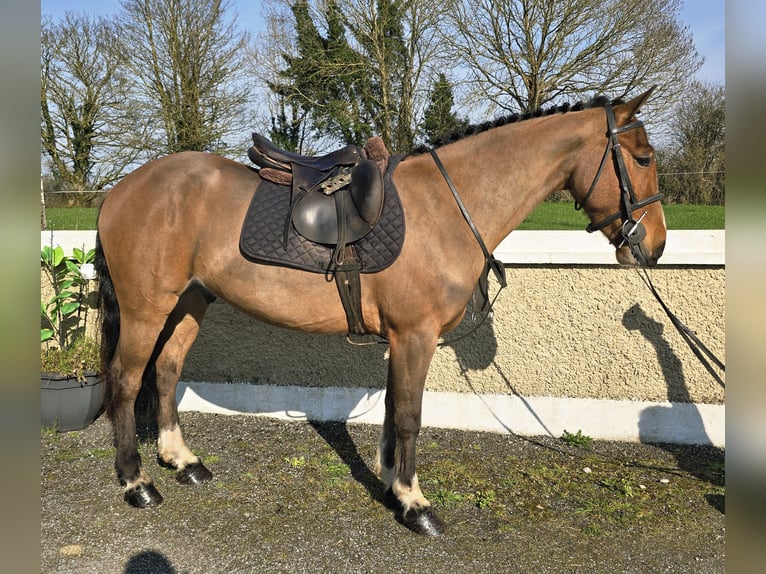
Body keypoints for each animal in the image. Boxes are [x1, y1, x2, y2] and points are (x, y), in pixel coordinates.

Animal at [94, 89, 666, 536]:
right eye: (642, 158)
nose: (654, 246)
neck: (447, 207)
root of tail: (121, 189)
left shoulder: (401, 337)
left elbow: (394, 408)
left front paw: (392, 481)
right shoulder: (415, 334)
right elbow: (410, 414)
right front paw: (415, 504)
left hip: (190, 301)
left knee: (166, 370)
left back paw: (183, 461)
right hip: (147, 309)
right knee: (125, 379)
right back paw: (137, 482)